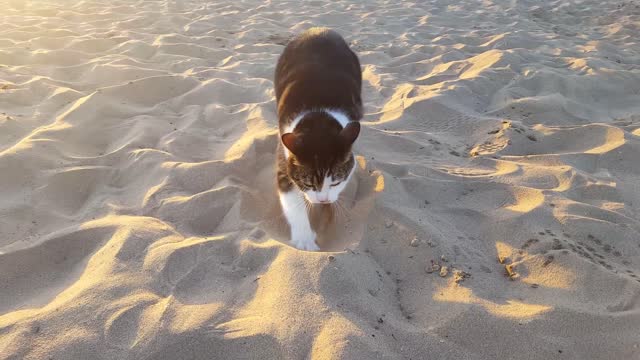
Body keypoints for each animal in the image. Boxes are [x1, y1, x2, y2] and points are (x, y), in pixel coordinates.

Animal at [274, 27, 362, 250]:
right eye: (309, 184)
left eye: (336, 182)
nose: (323, 201)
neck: (318, 117)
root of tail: (319, 30)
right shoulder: (284, 158)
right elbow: (292, 199)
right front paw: (305, 240)